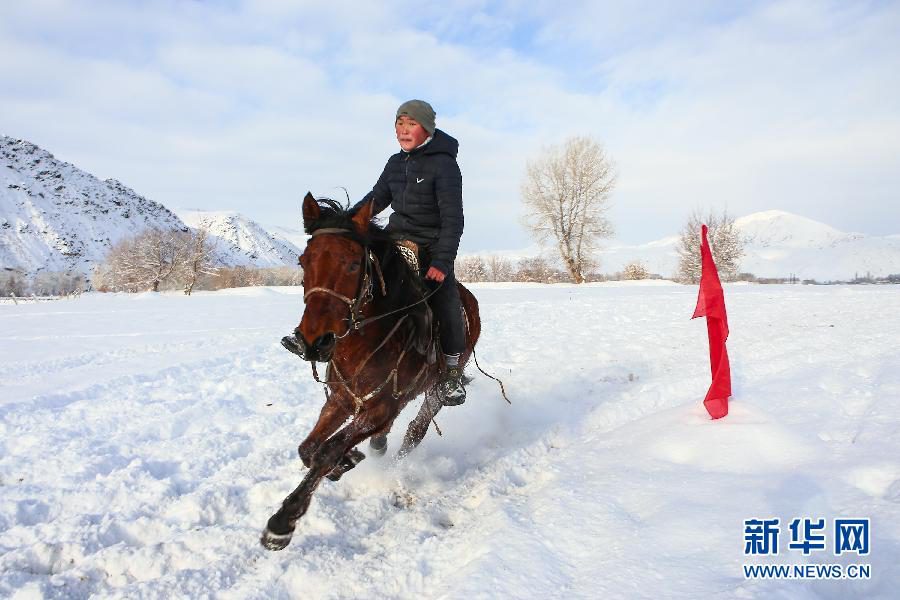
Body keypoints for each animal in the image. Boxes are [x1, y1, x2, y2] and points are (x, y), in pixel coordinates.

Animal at [262, 195, 478, 552]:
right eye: (303, 261)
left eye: (352, 264)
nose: (313, 342)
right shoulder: (341, 399)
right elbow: (308, 448)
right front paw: (346, 462)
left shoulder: (380, 406)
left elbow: (327, 451)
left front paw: (283, 521)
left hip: (435, 390)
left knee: (415, 432)